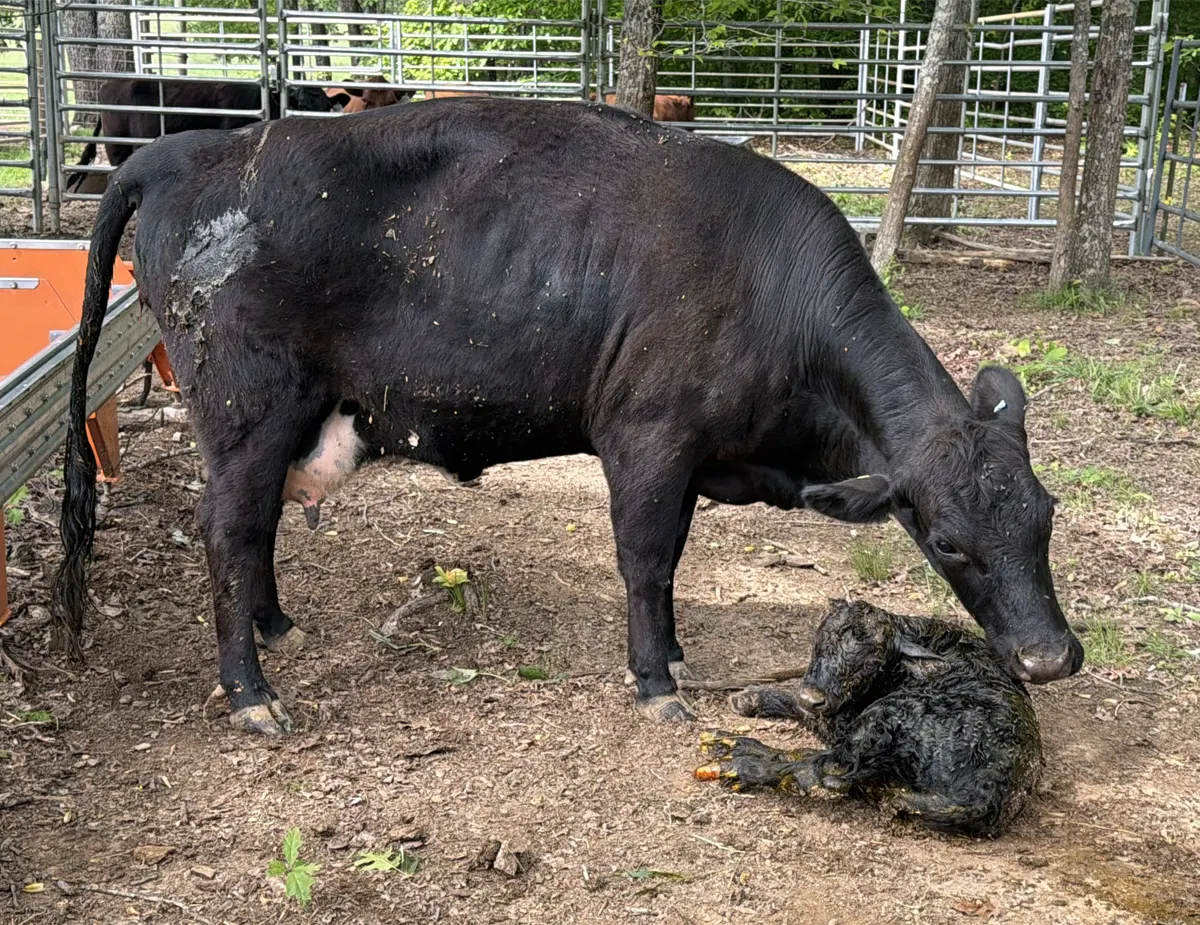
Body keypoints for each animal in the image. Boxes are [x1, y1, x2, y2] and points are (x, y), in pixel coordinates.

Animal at [54, 98, 1083, 738]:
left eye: (1045, 518)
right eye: (945, 540)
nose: (1052, 658)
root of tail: (183, 149)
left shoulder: (694, 458)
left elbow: (671, 560)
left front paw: (675, 653)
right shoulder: (648, 438)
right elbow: (646, 559)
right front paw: (655, 680)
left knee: (257, 526)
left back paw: (275, 626)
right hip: (246, 412)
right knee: (229, 530)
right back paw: (251, 693)